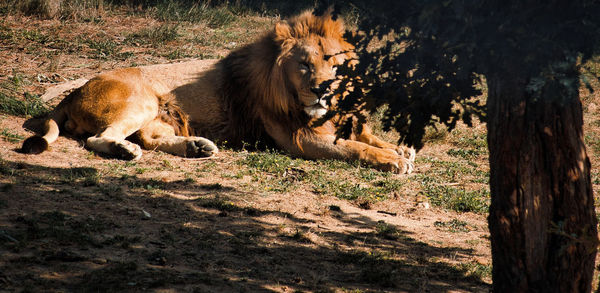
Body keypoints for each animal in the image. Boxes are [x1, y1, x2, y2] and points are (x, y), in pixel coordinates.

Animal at [24, 9, 418, 173]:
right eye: (305, 65)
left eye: (335, 65)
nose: (321, 91)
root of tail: (74, 93)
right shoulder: (300, 139)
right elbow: (352, 148)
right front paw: (392, 160)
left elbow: (365, 136)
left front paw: (398, 148)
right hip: (141, 100)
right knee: (101, 139)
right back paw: (125, 151)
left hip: (160, 113)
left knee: (150, 137)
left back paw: (197, 147)